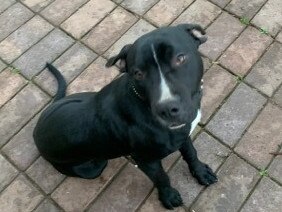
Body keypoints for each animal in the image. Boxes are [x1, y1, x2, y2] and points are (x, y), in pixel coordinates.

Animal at [33, 24, 218, 210]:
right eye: (138, 74)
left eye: (180, 58)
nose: (166, 109)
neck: (143, 102)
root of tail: (37, 127)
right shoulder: (145, 160)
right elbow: (161, 177)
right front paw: (168, 196)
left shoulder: (183, 133)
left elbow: (191, 153)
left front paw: (201, 172)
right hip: (93, 167)